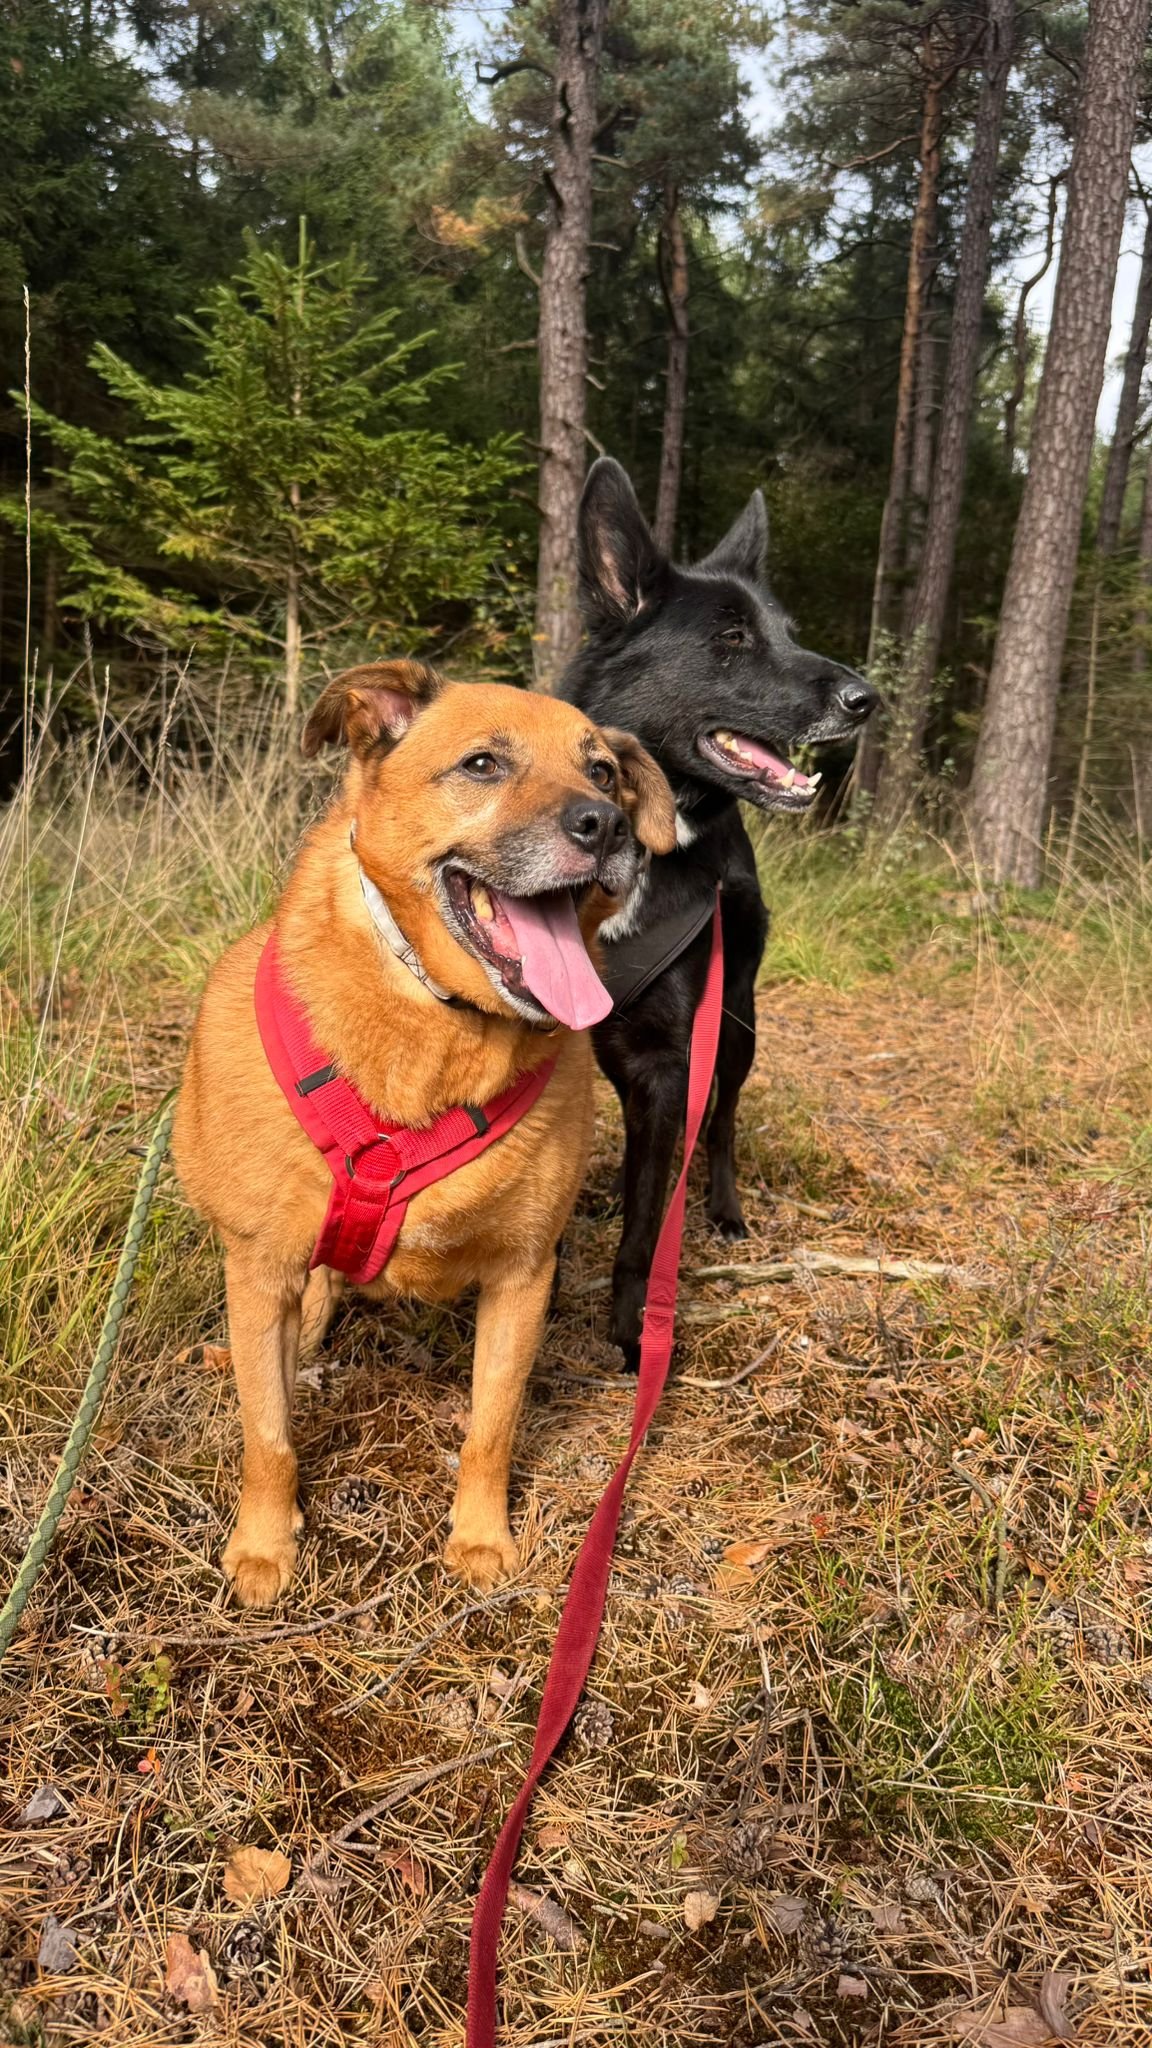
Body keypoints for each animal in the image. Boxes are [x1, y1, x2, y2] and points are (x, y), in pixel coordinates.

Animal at [173, 659, 675, 1605]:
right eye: (482, 764)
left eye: (602, 771)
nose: (611, 826)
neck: (439, 1030)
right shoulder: (260, 1267)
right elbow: (268, 1434)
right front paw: (265, 1545)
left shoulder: (523, 1276)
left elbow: (492, 1428)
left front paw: (479, 1538)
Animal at [559, 459, 878, 1367]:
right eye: (733, 638)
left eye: (786, 630)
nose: (866, 697)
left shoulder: (675, 1061)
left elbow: (645, 1228)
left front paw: (631, 1330)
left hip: (736, 1026)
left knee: (723, 1123)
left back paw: (723, 1210)